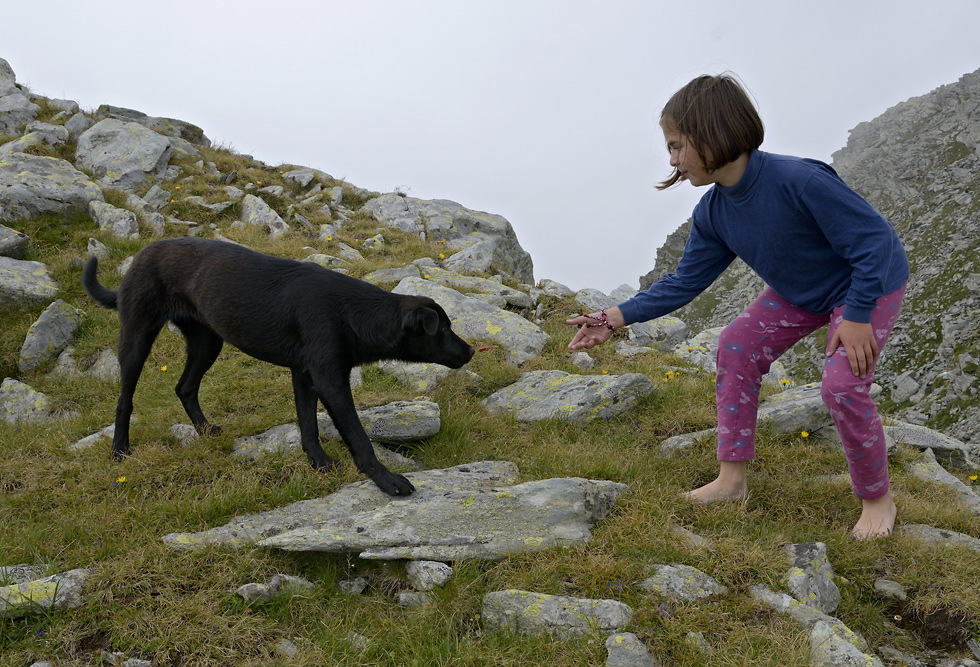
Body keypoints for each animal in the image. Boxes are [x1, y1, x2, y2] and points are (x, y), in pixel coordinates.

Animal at [82, 239, 472, 496]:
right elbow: (359, 439)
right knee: (125, 399)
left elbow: (308, 425)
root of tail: (141, 255)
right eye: (445, 329)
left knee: (184, 387)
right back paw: (120, 450)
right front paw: (386, 480)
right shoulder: (330, 380)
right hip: (137, 337)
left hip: (208, 341)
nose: (469, 351)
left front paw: (318, 463)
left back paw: (206, 431)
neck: (352, 313)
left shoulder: (304, 374)